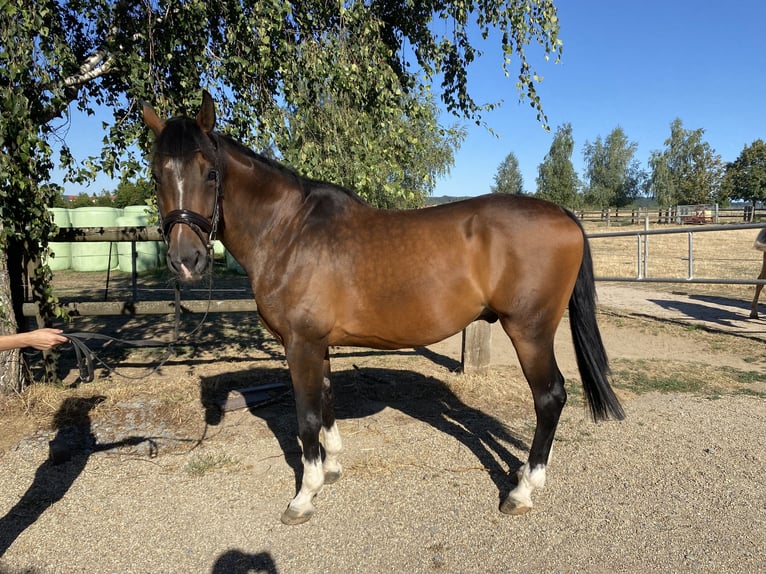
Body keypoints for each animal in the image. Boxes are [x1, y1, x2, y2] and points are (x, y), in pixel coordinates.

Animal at [142, 91, 625, 525]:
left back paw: (523, 490)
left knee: (550, 397)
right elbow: (326, 400)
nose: (185, 260)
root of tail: (564, 215)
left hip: (530, 331)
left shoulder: (299, 344)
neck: (289, 232)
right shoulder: (318, 344)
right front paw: (331, 468)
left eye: (209, 173)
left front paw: (304, 496)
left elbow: (306, 417)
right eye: (156, 176)